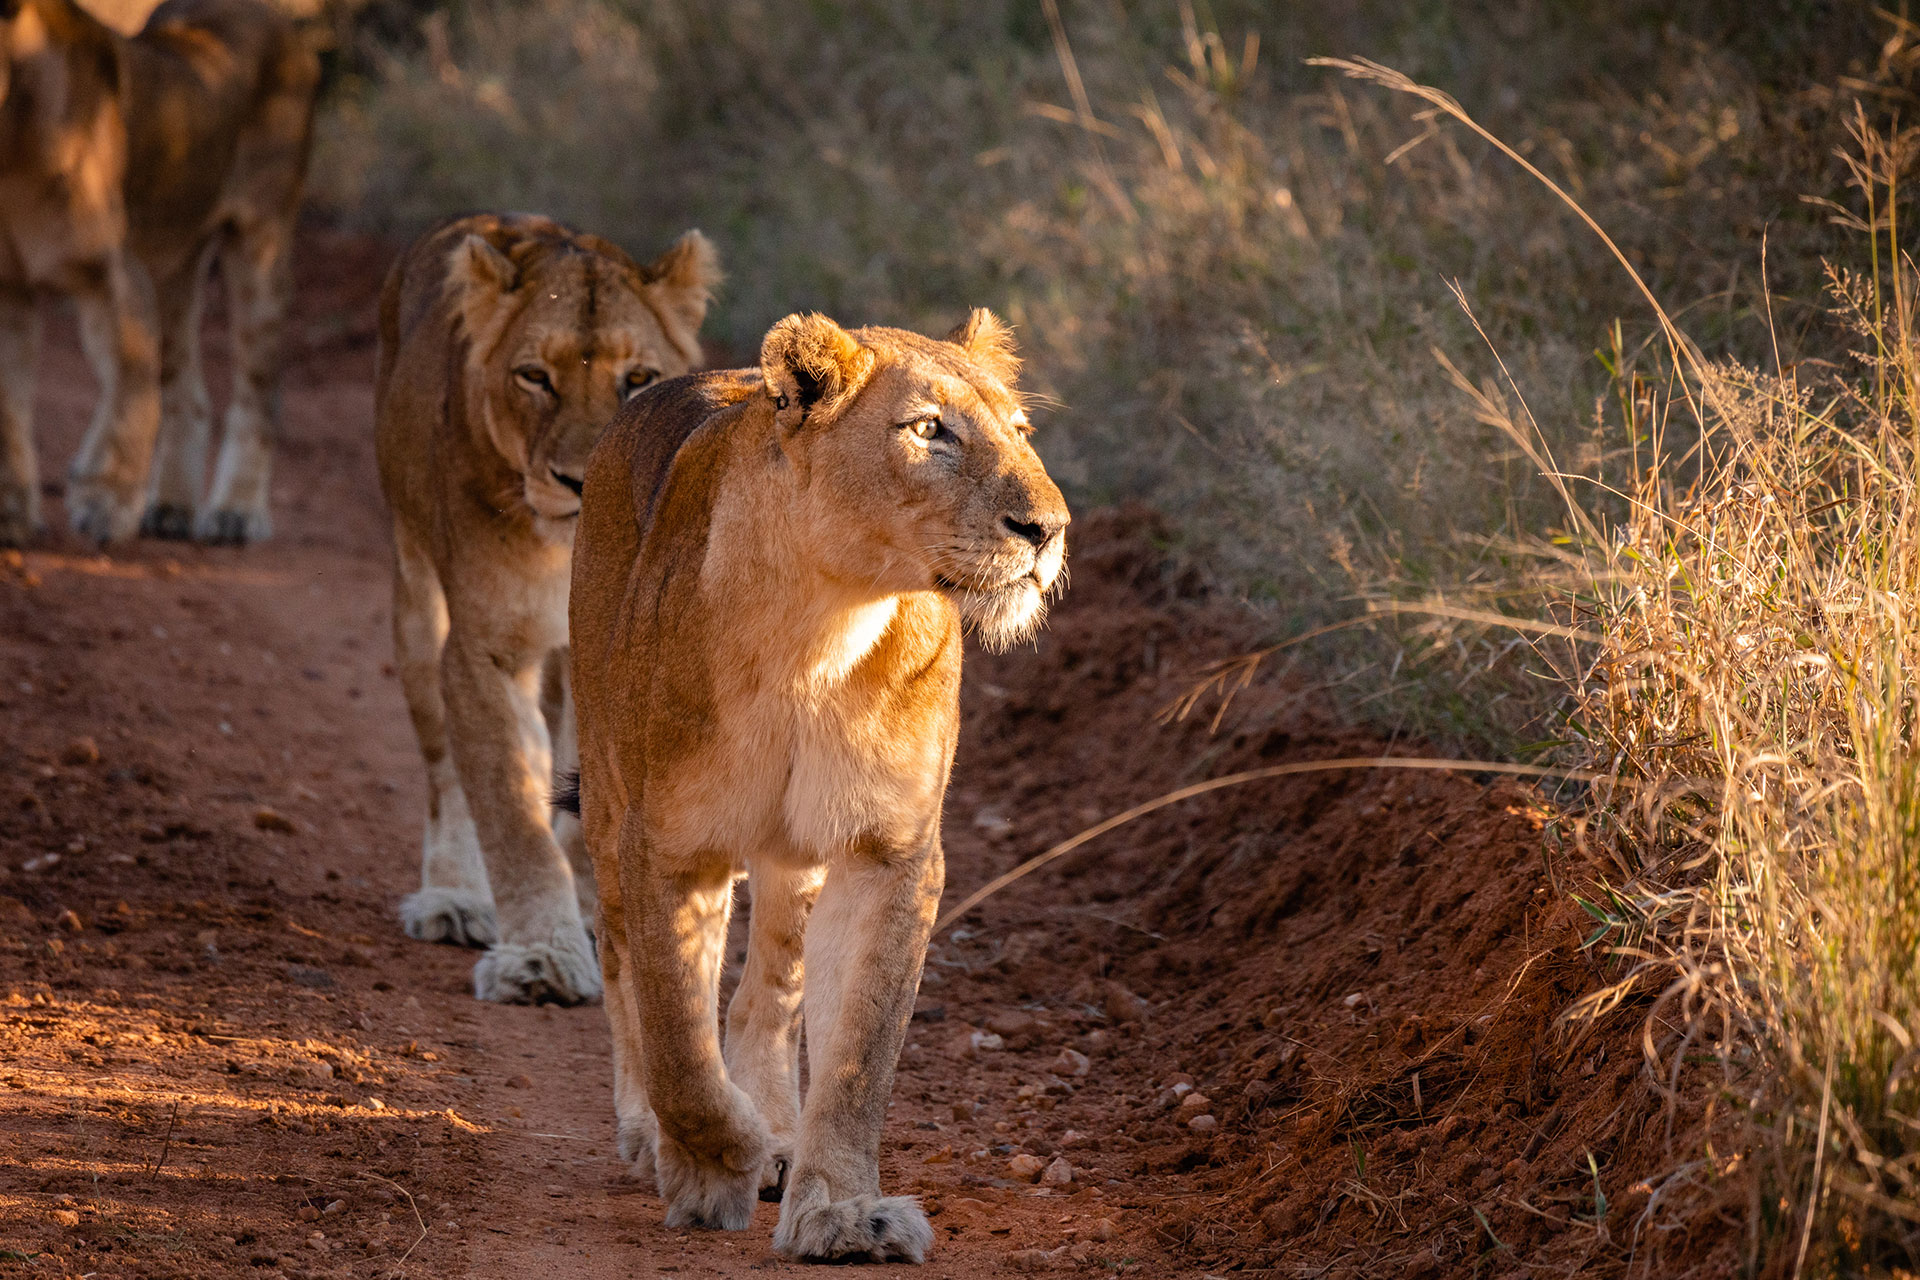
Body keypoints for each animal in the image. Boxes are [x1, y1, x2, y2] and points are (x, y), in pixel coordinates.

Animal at [0, 0, 317, 547]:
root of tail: (273, 14)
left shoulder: (118, 273)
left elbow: (133, 385)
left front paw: (106, 500)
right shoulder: (9, 287)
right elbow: (9, 413)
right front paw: (12, 516)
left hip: (262, 239)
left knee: (258, 391)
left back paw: (235, 512)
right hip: (176, 264)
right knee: (186, 392)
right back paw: (169, 507)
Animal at [376, 212, 720, 1007]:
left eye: (638, 378)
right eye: (535, 375)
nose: (580, 480)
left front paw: (600, 919)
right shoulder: (483, 648)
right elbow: (508, 806)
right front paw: (540, 956)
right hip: (416, 604)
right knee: (447, 773)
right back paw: (455, 897)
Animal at [565, 309, 1069, 1261]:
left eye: (1023, 431)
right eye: (929, 430)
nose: (1049, 528)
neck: (824, 623)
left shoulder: (889, 851)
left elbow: (858, 1054)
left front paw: (838, 1209)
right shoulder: (668, 843)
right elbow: (678, 1041)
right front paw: (713, 1162)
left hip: (794, 852)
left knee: (769, 992)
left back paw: (776, 1131)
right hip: (608, 801)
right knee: (623, 970)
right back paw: (658, 1134)